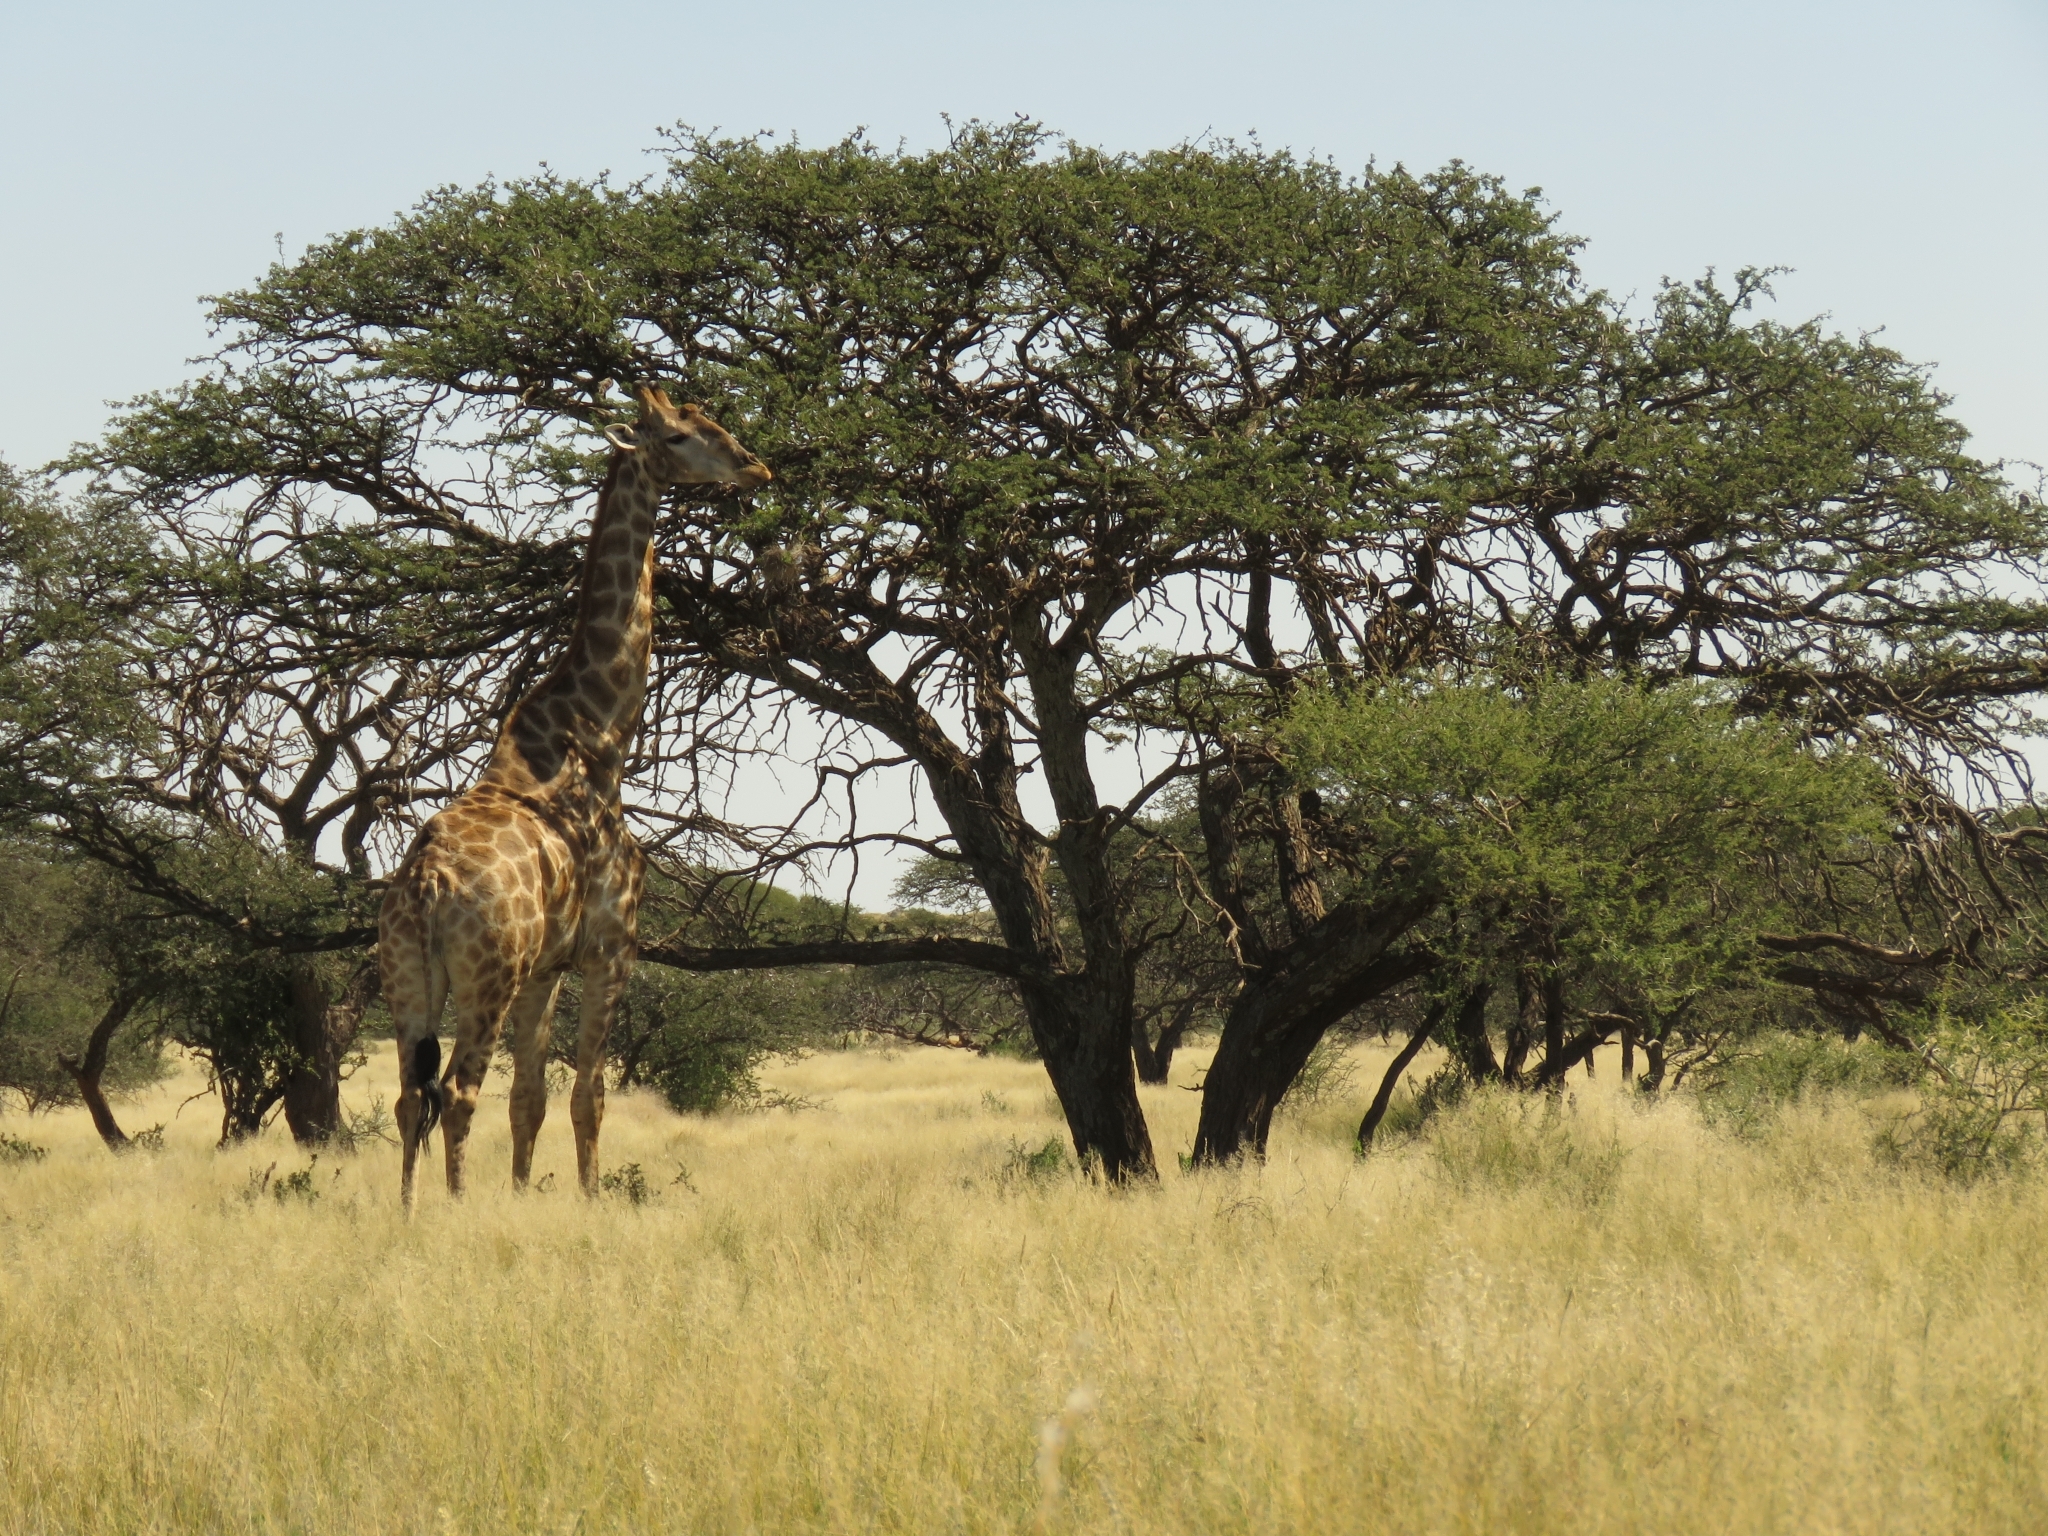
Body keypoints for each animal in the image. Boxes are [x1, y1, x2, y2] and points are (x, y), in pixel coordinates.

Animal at [379, 384, 770, 1210]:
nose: (756, 467)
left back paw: (408, 1211)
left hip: (407, 977)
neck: (598, 737)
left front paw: (527, 1195)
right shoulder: (610, 947)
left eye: (710, 419)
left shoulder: (548, 967)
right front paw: (590, 1201)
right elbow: (587, 1093)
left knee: (408, 1096)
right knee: (456, 1092)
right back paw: (454, 1210)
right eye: (680, 435)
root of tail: (423, 883)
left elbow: (529, 1097)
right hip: (487, 974)